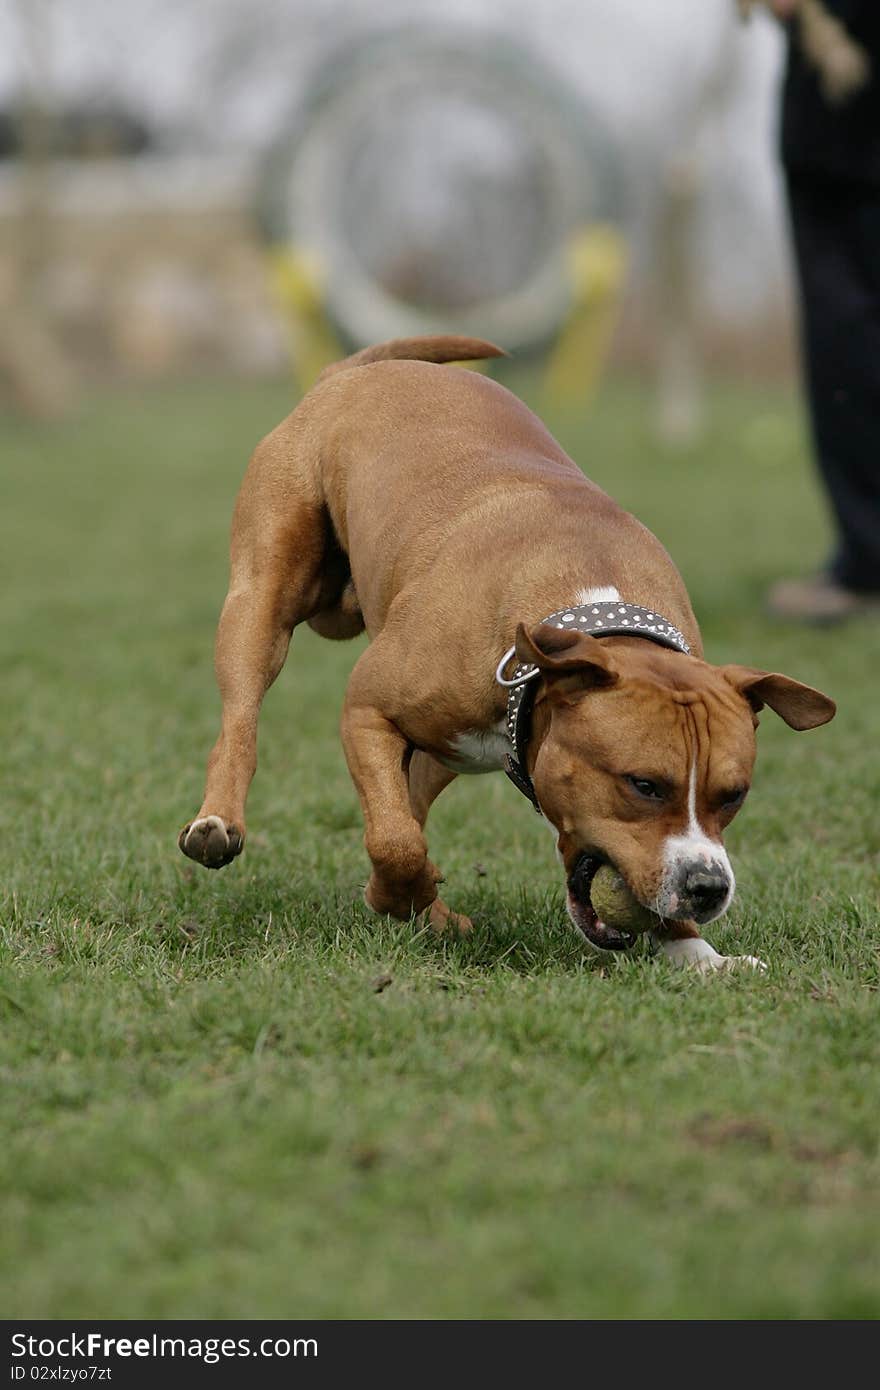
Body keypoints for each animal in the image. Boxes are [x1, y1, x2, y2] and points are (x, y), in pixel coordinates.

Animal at [177, 334, 828, 967]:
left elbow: (400, 825)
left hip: (438, 749)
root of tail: (353, 372)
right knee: (242, 720)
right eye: (644, 785)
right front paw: (401, 894)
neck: (585, 609)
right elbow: (396, 841)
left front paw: (698, 953)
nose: (708, 887)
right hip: (260, 603)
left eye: (734, 795)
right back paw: (219, 821)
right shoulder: (366, 711)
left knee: (408, 799)